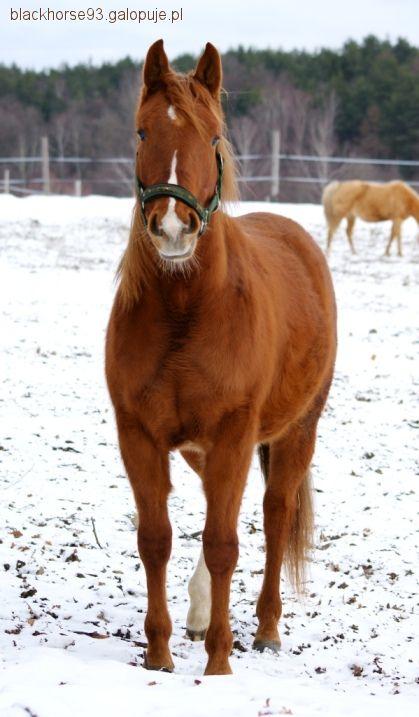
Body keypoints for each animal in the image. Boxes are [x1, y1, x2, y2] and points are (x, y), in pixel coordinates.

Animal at [105, 39, 337, 676]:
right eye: (141, 132)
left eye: (212, 136)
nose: (172, 228)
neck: (187, 312)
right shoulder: (140, 435)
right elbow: (156, 538)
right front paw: (159, 655)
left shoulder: (236, 434)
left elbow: (224, 542)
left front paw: (218, 665)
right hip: (200, 449)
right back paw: (201, 610)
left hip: (296, 432)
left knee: (275, 516)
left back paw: (266, 629)